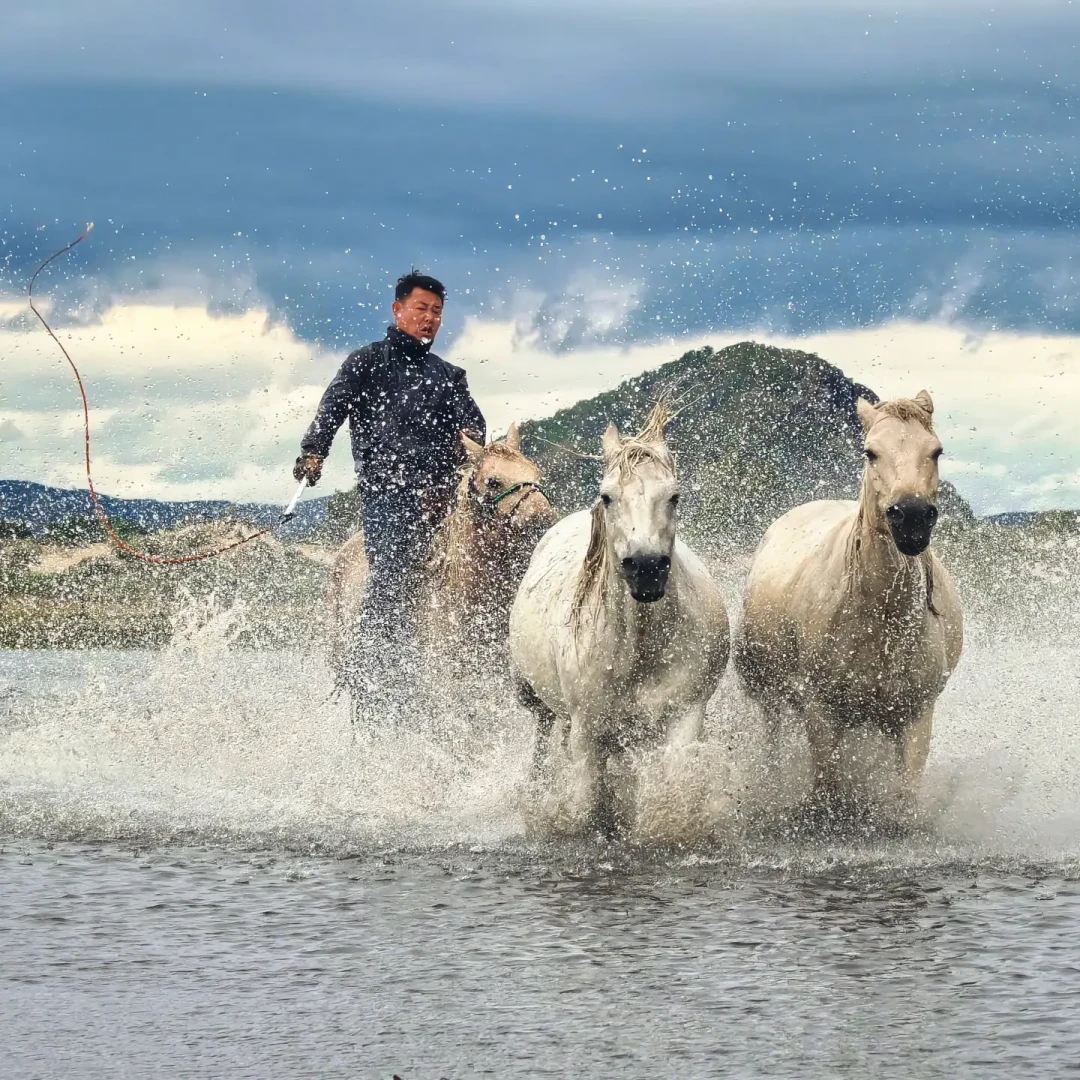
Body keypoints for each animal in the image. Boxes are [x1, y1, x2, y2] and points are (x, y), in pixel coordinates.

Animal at [509, 398, 730, 839]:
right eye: (608, 496)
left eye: (674, 496)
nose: (645, 568)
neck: (636, 649)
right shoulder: (587, 731)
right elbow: (588, 805)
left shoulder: (684, 715)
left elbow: (672, 785)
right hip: (542, 705)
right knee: (544, 739)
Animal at [734, 390, 964, 822]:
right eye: (871, 452)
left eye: (937, 451)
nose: (911, 518)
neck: (879, 616)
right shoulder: (821, 711)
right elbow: (828, 791)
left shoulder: (915, 716)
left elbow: (905, 800)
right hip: (770, 694)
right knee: (772, 739)